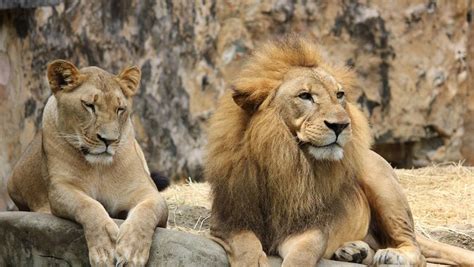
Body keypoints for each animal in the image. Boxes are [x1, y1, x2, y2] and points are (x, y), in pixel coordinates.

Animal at [7, 59, 168, 266]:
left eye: (120, 109)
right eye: (89, 105)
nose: (109, 140)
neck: (99, 168)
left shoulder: (148, 192)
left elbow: (147, 212)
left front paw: (132, 251)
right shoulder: (61, 189)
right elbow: (88, 205)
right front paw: (105, 248)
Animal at [206, 36, 474, 266]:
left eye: (339, 94)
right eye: (305, 96)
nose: (341, 125)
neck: (286, 160)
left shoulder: (310, 228)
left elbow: (300, 258)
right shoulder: (230, 222)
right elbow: (246, 249)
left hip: (381, 182)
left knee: (416, 250)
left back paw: (392, 256)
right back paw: (355, 251)